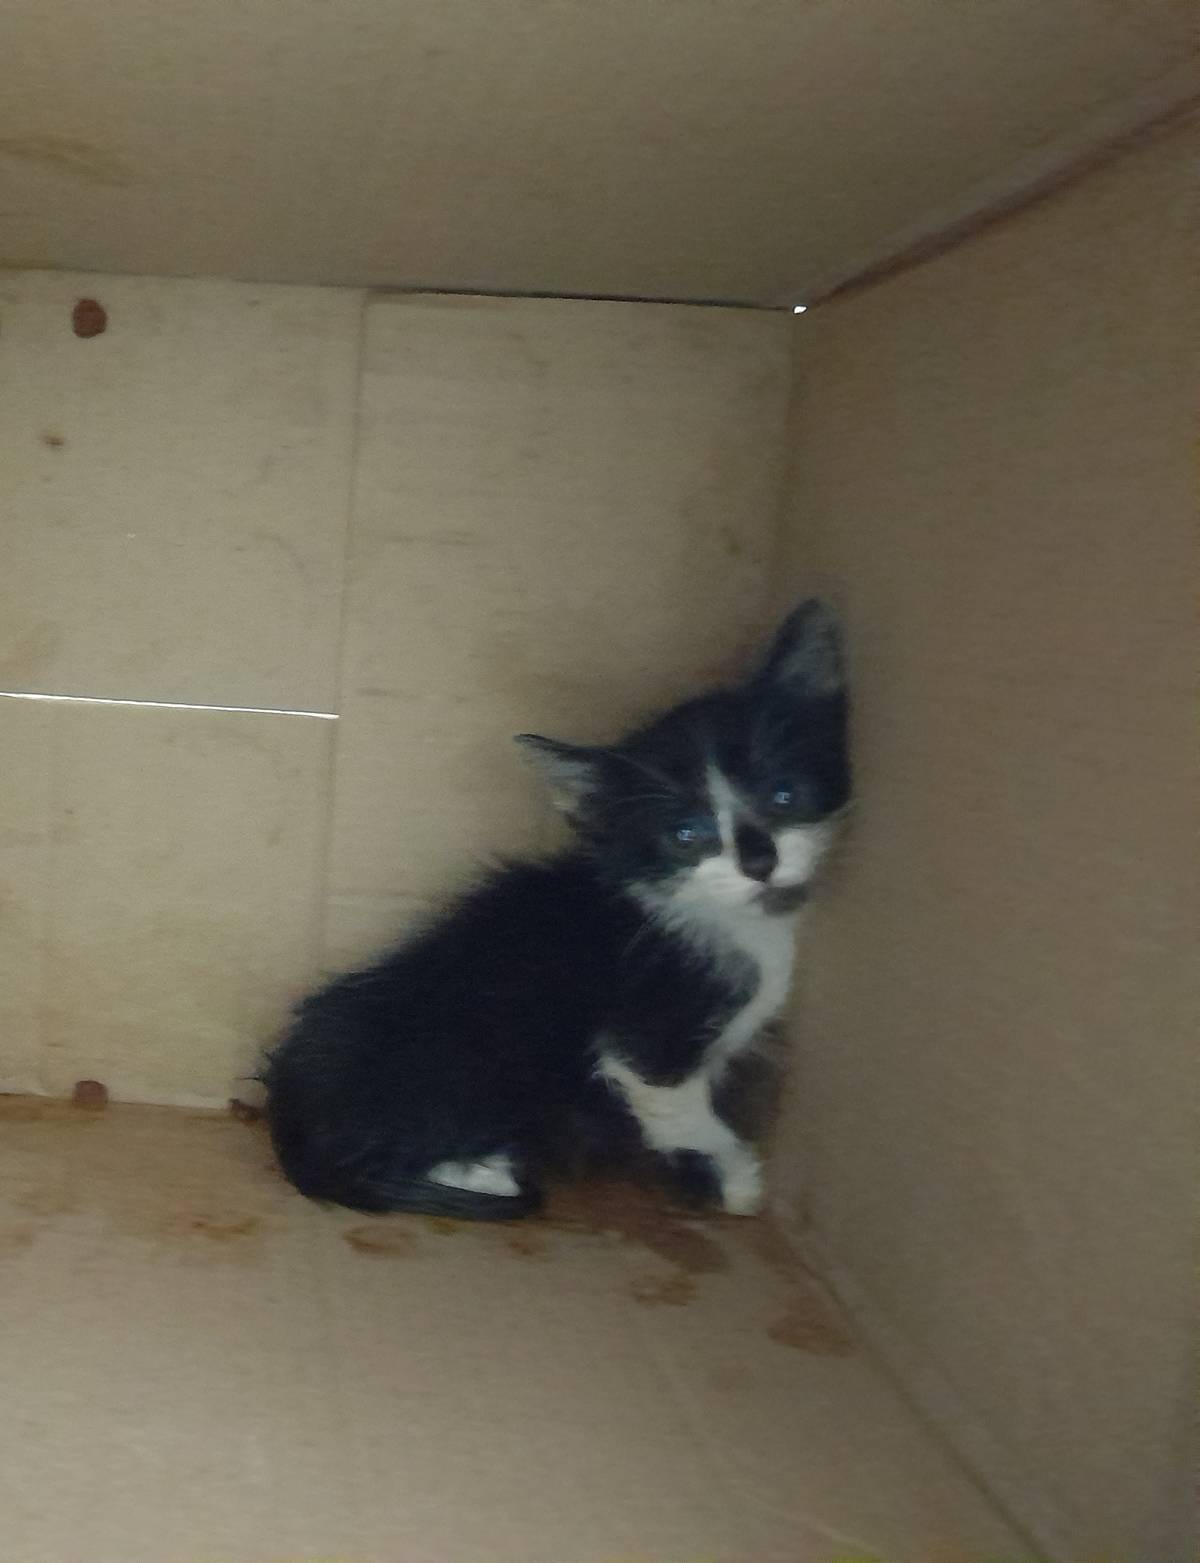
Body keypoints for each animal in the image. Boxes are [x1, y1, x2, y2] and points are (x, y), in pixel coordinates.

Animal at [263, 600, 850, 1221]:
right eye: (685, 834)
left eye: (785, 794)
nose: (760, 861)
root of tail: (291, 1116)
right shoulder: (644, 1039)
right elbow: (677, 1105)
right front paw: (735, 1177)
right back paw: (488, 1171)